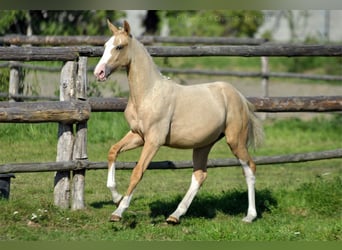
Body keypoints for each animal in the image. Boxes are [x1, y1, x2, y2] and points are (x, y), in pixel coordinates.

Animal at [93, 20, 264, 225]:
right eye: (105, 46)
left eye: (119, 46)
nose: (99, 72)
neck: (148, 93)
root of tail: (239, 96)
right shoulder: (138, 135)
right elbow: (113, 151)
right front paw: (116, 197)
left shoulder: (154, 141)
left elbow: (138, 171)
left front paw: (118, 212)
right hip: (203, 144)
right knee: (199, 175)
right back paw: (175, 215)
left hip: (235, 141)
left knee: (249, 168)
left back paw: (250, 216)